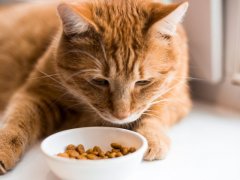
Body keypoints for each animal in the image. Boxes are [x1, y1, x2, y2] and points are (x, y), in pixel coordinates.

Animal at [0, 0, 191, 174]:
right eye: (99, 81)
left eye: (143, 82)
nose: (121, 115)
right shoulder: (34, 92)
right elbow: (17, 121)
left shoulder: (178, 97)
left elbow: (156, 112)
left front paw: (152, 137)